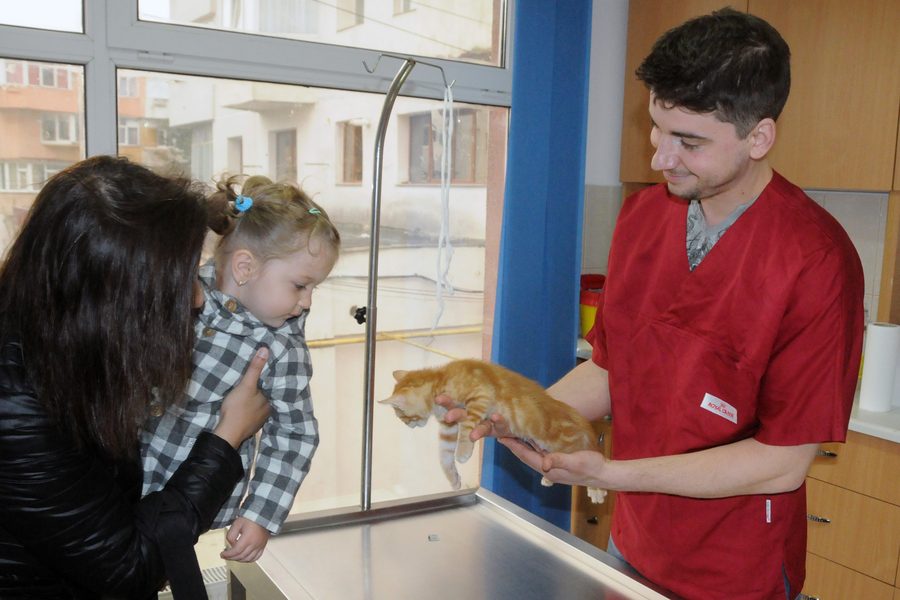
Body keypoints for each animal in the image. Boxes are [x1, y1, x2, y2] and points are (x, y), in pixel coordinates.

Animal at [379, 358, 607, 503]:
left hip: (564, 442)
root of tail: (576, 416)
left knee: (591, 454)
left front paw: (463, 453)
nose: (407, 425)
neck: (440, 379)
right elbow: (443, 456)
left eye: (402, 416)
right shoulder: (448, 426)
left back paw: (597, 488)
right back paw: (549, 476)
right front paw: (454, 479)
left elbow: (468, 426)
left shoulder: (480, 395)